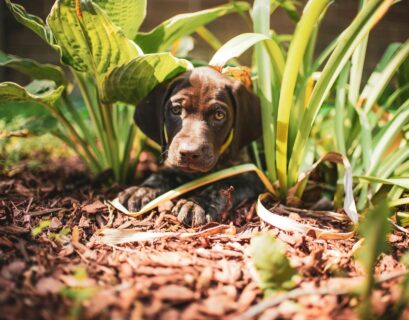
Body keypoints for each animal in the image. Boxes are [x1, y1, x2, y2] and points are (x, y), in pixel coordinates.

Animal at [119, 65, 262, 225]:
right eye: (176, 110)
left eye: (219, 115)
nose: (189, 153)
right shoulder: (174, 165)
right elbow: (160, 175)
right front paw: (141, 190)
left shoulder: (250, 175)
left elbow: (221, 186)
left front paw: (197, 204)